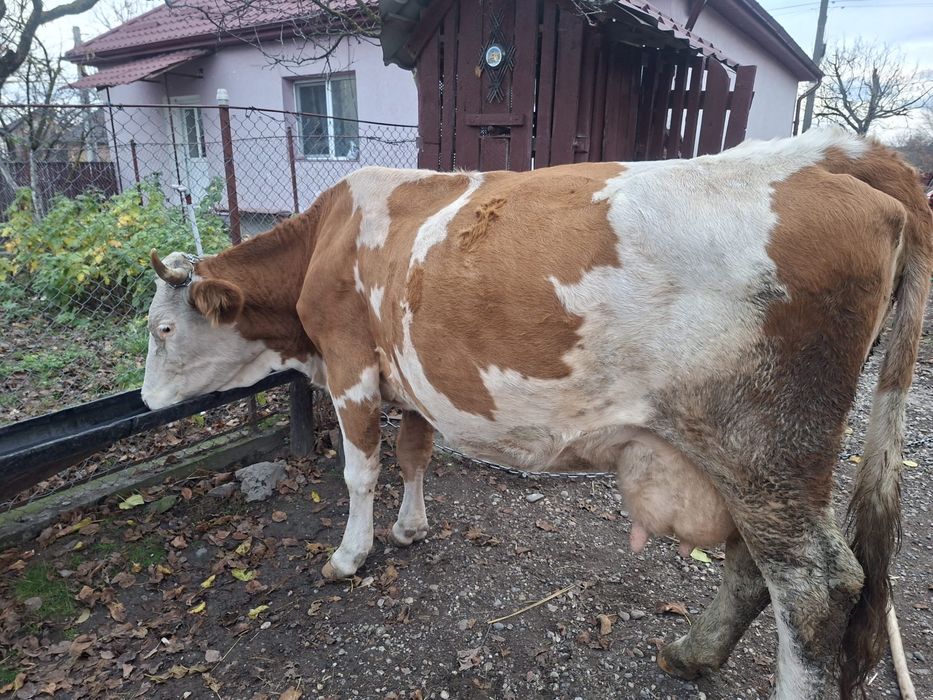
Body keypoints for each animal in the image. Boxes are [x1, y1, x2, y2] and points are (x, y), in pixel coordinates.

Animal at [142, 129, 932, 699]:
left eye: (162, 329)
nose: (146, 401)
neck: (325, 240)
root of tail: (834, 152)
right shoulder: (417, 375)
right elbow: (414, 454)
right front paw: (410, 527)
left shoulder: (350, 367)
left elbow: (360, 472)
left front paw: (350, 553)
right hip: (756, 459)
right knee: (753, 565)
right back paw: (689, 653)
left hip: (763, 444)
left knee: (813, 586)